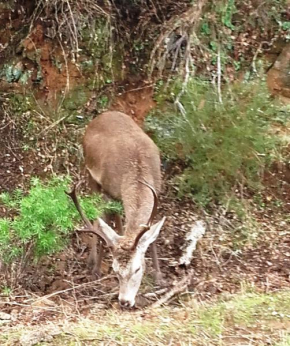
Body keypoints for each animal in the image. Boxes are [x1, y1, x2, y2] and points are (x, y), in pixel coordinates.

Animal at [66, 111, 165, 308]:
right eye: (115, 270)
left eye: (138, 268)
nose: (124, 301)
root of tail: (102, 115)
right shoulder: (108, 190)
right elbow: (104, 220)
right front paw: (96, 269)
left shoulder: (157, 188)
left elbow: (151, 233)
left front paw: (159, 276)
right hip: (90, 175)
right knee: (98, 217)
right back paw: (92, 262)